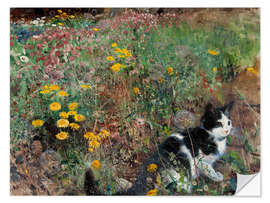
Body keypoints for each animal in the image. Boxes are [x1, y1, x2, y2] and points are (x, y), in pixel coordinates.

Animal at [84, 101, 234, 195]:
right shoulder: (201, 160)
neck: (210, 135)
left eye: (228, 122)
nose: (227, 130)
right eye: (219, 123)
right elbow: (209, 170)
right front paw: (218, 177)